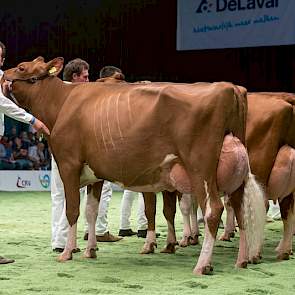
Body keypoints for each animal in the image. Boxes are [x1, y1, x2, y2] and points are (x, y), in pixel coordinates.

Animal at [2, 57, 268, 276]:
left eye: (22, 68)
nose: (4, 76)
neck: (63, 102)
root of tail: (228, 88)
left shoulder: (69, 164)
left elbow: (73, 210)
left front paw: (67, 253)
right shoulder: (95, 173)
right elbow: (91, 211)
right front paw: (90, 250)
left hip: (200, 167)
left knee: (213, 210)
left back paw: (202, 264)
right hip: (234, 174)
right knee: (239, 209)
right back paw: (242, 260)